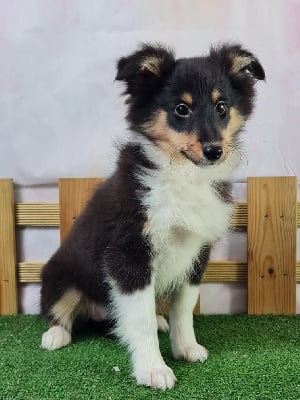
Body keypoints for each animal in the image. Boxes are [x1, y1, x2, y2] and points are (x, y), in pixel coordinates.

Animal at [40, 42, 264, 390]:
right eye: (181, 109)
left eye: (222, 107)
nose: (215, 151)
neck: (182, 174)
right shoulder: (128, 254)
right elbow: (140, 318)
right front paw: (153, 370)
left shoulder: (196, 252)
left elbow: (183, 308)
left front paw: (186, 348)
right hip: (59, 276)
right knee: (59, 308)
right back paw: (55, 335)